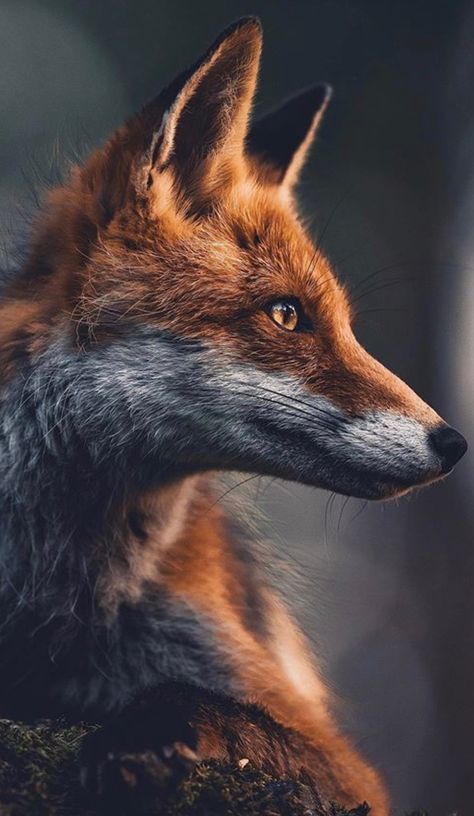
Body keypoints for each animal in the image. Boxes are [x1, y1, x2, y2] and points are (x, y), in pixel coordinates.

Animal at [0, 16, 467, 815]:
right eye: (287, 315)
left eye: (345, 325)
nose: (455, 442)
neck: (51, 597)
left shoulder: (346, 768)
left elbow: (210, 704)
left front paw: (137, 739)